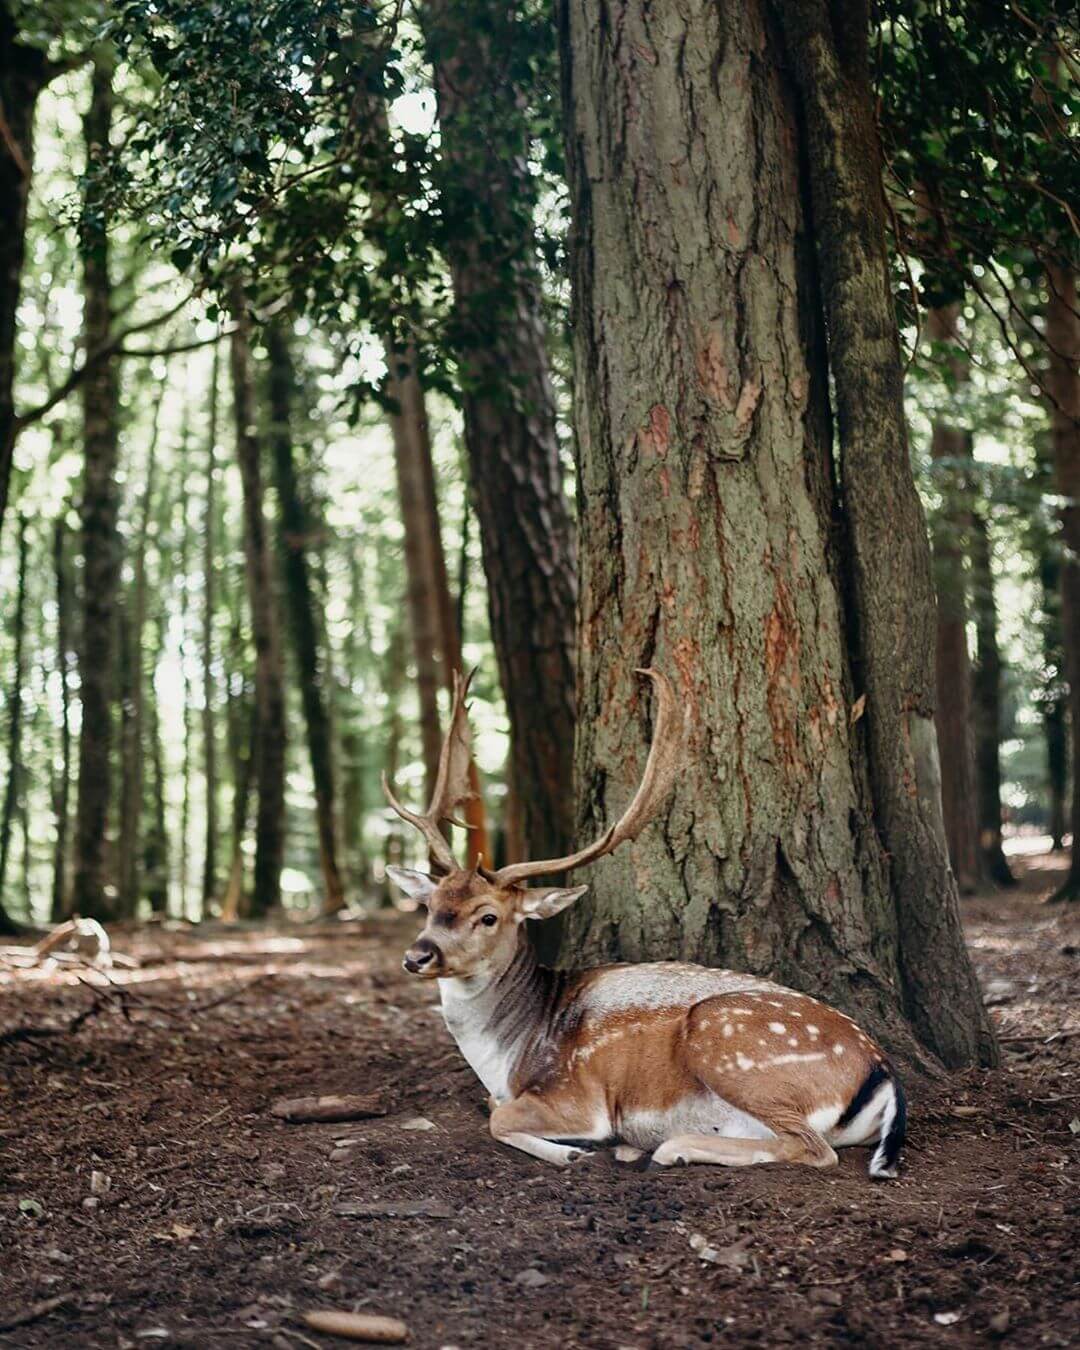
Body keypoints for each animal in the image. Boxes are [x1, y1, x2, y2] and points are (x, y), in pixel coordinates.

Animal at [383, 669, 907, 1177]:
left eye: (488, 916)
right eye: (431, 905)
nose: (417, 955)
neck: (509, 1055)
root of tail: (882, 1071)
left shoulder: (580, 1096)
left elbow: (499, 1119)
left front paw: (571, 1153)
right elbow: (492, 1108)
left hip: (727, 1042)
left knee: (814, 1148)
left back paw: (667, 1148)